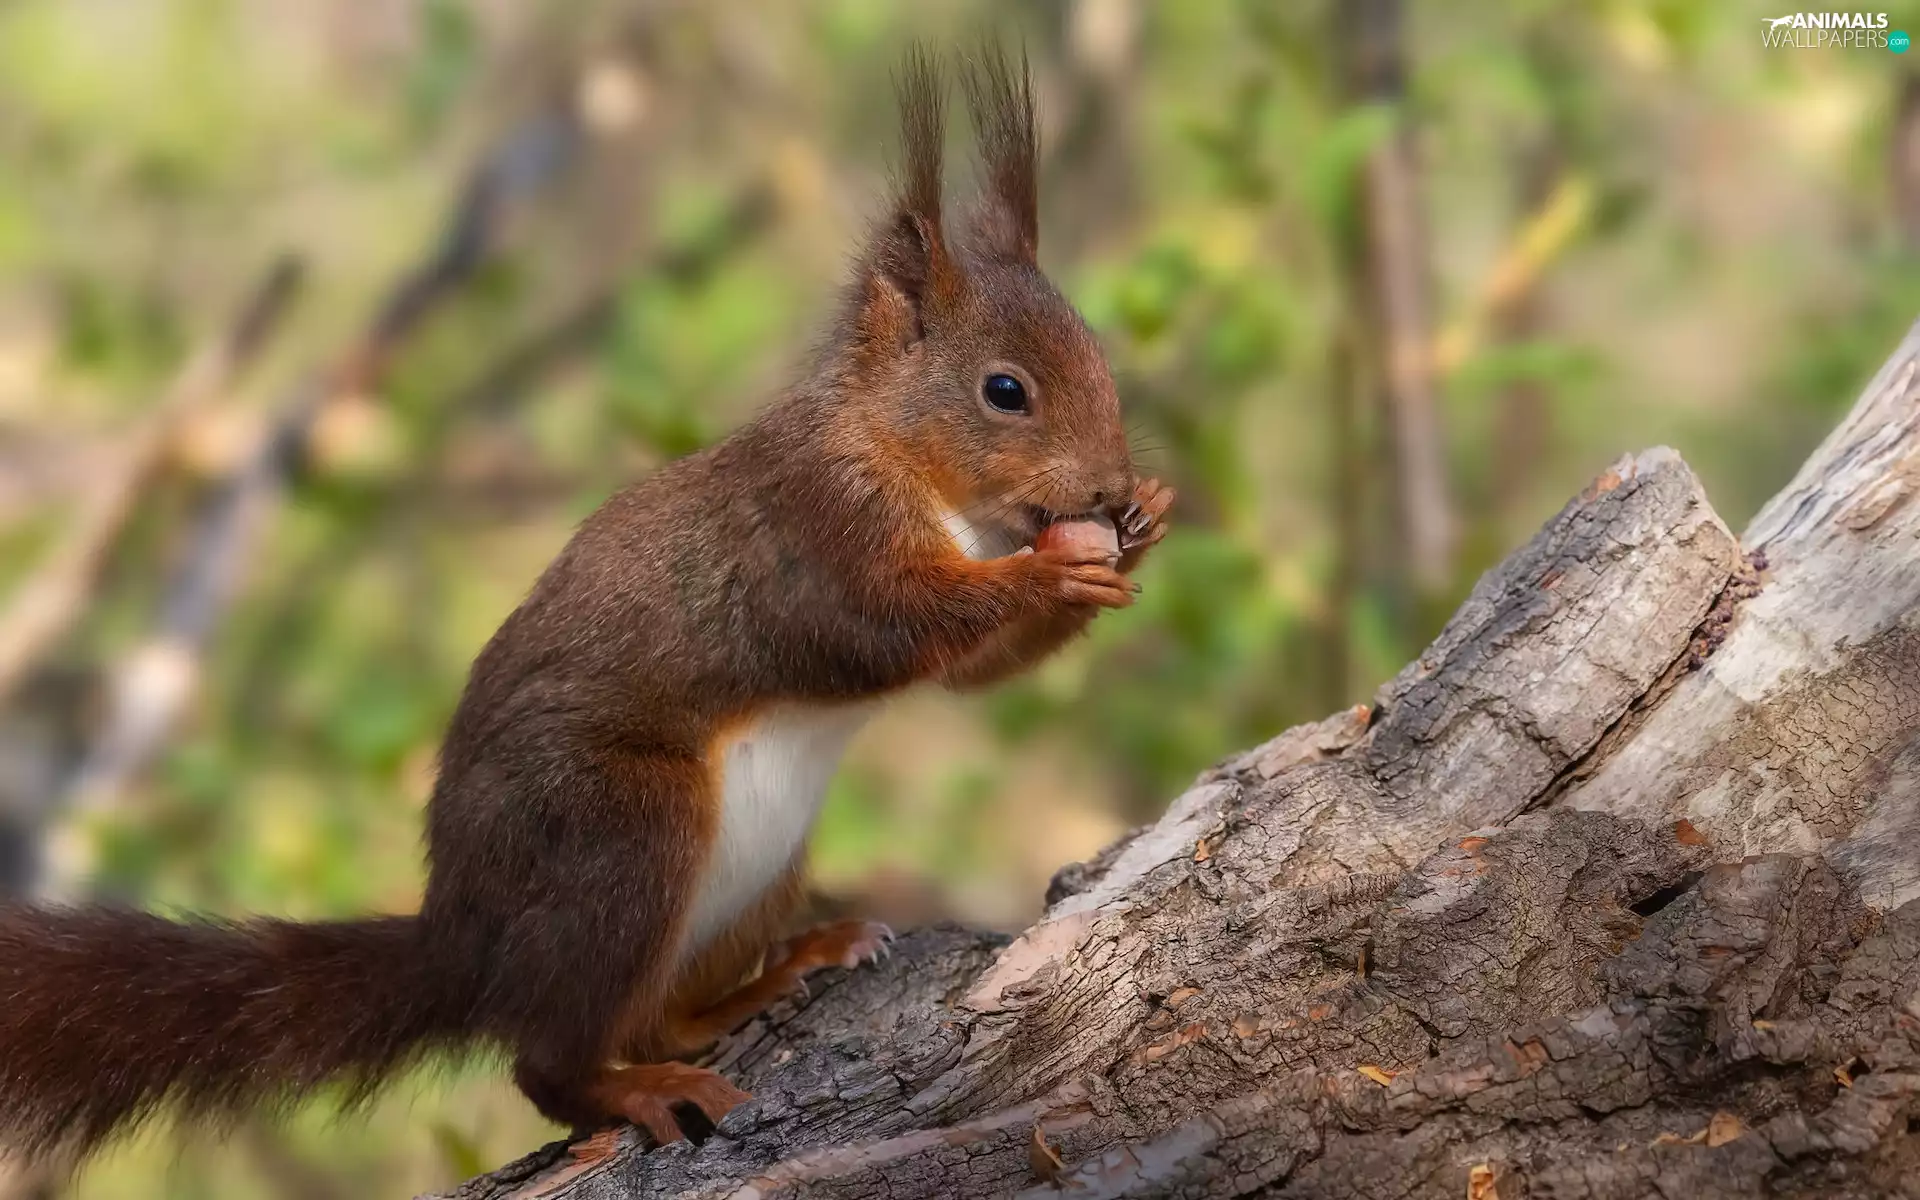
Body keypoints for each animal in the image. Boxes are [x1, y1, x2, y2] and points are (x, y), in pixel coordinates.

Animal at [0, 46, 1174, 1160]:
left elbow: (972, 674)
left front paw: (1141, 529)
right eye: (1004, 391)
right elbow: (879, 632)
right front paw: (1049, 570)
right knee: (548, 1060)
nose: (1110, 487)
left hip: (755, 869)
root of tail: (464, 944)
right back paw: (635, 1090)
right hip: (623, 835)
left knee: (652, 1016)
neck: (912, 467)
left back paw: (781, 969)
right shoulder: (810, 530)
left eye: (1099, 356)